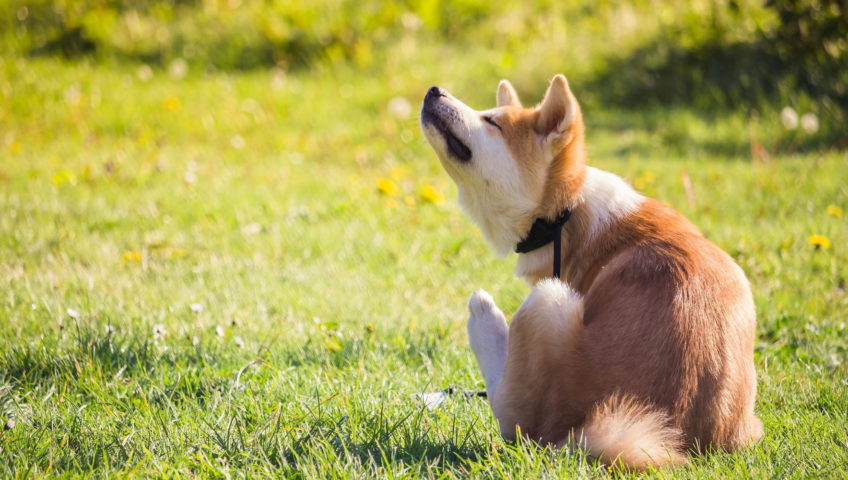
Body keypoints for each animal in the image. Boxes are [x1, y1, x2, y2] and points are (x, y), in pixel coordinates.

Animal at [418, 75, 760, 468]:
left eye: (492, 121)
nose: (433, 90)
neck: (565, 212)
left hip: (546, 300)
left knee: (511, 415)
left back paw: (484, 317)